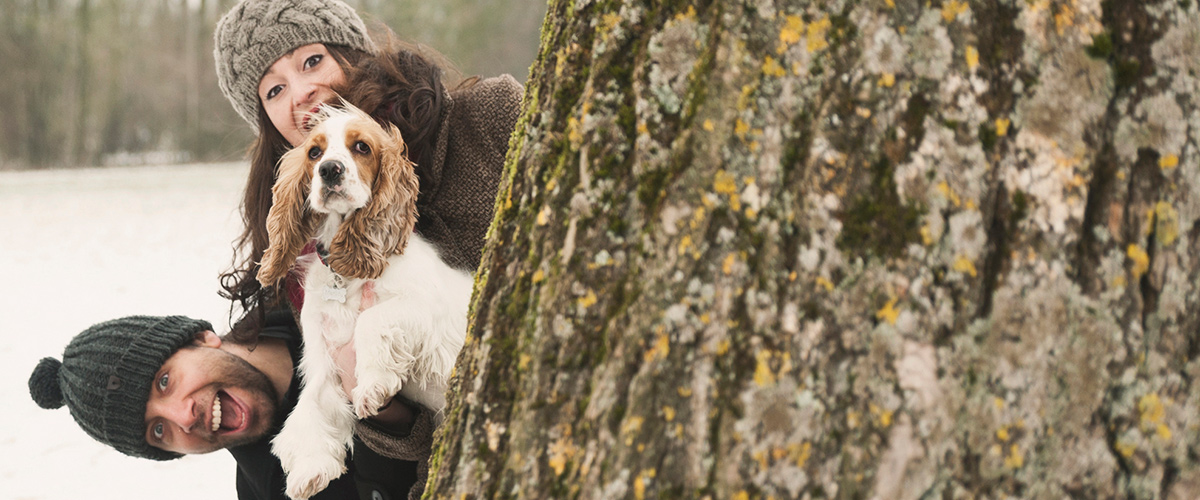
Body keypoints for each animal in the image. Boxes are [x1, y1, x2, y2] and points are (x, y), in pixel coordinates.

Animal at [255, 102, 470, 498]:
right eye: (314, 152)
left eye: (362, 147)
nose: (329, 169)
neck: (347, 271)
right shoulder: (323, 362)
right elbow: (308, 409)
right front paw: (309, 470)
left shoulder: (426, 310)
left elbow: (371, 322)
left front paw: (372, 386)